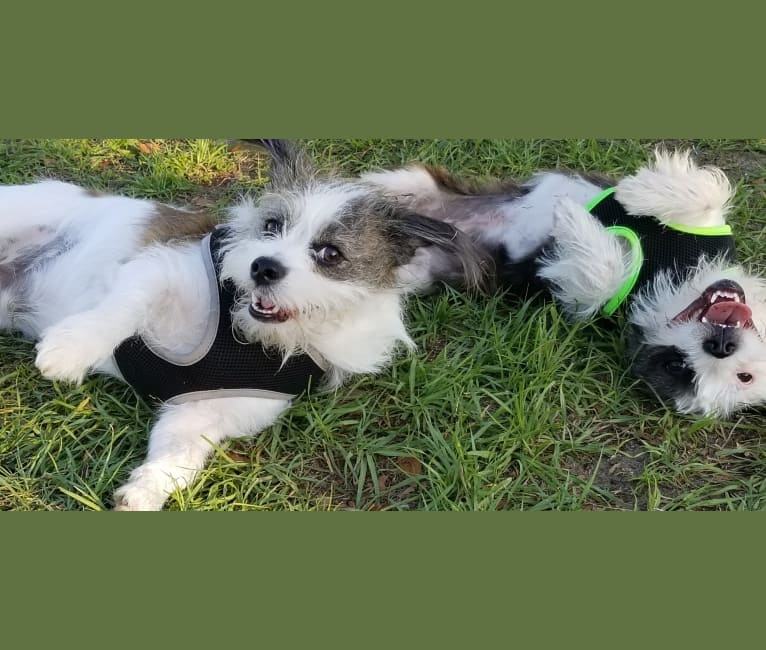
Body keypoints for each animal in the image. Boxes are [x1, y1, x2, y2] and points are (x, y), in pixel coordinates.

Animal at [1, 139, 486, 508]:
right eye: (271, 226)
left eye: (330, 254)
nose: (262, 266)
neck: (253, 338)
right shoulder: (158, 271)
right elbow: (120, 309)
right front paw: (72, 347)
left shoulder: (205, 412)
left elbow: (179, 456)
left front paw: (145, 492)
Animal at [364, 148, 766, 416]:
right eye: (746, 377)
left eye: (676, 367)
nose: (720, 345)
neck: (673, 283)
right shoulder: (708, 228)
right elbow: (705, 193)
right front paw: (636, 192)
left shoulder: (576, 294)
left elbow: (602, 273)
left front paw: (574, 220)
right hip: (412, 182)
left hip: (436, 266)